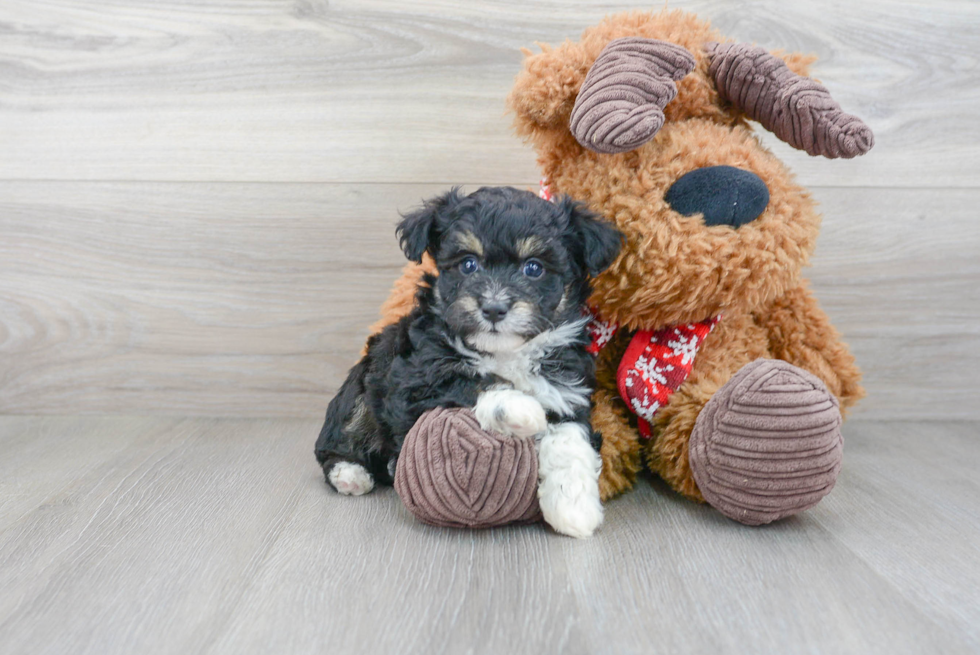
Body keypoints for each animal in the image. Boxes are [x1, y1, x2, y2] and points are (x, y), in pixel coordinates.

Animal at [314, 184, 620, 540]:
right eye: (468, 264)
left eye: (534, 268)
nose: (493, 308)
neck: (505, 351)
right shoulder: (414, 379)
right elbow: (476, 382)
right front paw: (521, 407)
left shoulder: (567, 388)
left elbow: (570, 439)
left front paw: (574, 505)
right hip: (361, 387)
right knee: (337, 439)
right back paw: (350, 473)